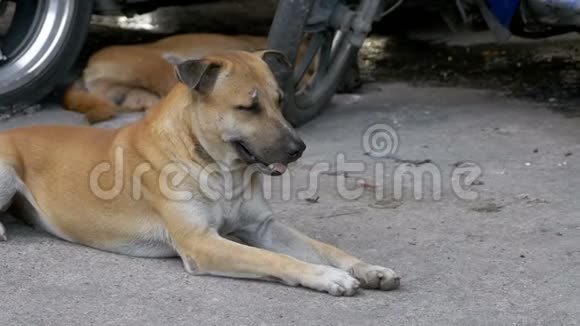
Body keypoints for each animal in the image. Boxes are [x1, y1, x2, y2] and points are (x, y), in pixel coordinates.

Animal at [0, 50, 398, 296]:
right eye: (248, 108)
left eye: (280, 101)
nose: (298, 148)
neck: (220, 169)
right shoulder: (201, 243)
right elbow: (277, 259)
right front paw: (327, 276)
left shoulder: (262, 227)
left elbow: (325, 248)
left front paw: (367, 268)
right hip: (5, 170)